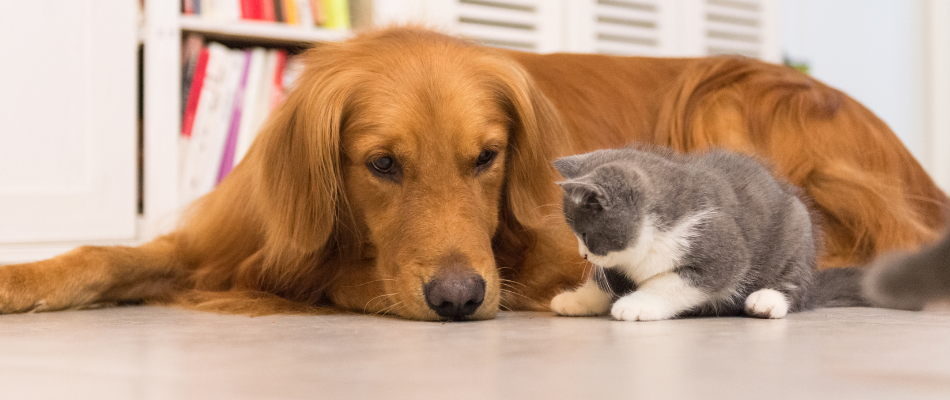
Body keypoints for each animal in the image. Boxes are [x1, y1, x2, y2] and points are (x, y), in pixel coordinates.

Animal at [552, 148, 872, 322]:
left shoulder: (719, 243)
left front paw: (636, 304)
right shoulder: (620, 261)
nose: (583, 254)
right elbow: (604, 280)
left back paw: (767, 301)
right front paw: (577, 300)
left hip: (797, 230)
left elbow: (673, 282)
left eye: (584, 234)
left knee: (796, 284)